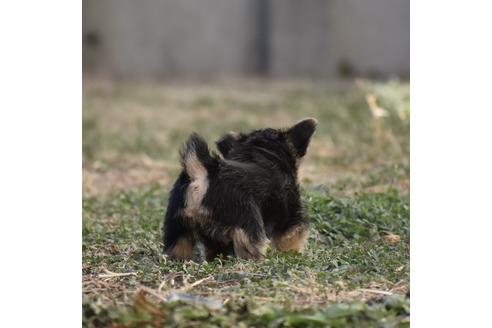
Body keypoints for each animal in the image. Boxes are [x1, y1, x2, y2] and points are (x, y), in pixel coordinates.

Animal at [161, 118, 318, 262]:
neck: (263, 151)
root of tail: (206, 174)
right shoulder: (292, 216)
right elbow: (291, 238)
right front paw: (293, 254)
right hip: (249, 224)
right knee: (250, 247)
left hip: (177, 224)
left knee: (177, 245)